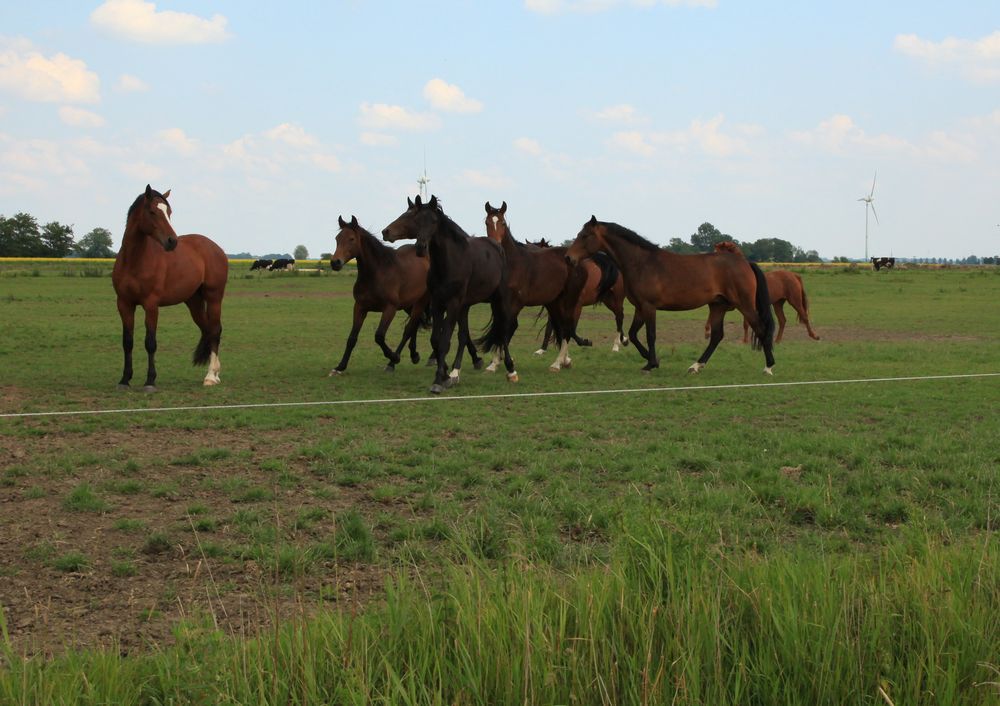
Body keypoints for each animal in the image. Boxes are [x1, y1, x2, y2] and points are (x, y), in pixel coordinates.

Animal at [112, 184, 228, 388]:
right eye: (152, 212)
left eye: (169, 212)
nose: (172, 241)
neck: (134, 261)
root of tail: (216, 248)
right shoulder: (124, 304)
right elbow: (127, 341)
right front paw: (125, 379)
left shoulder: (151, 305)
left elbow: (150, 342)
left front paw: (150, 381)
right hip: (194, 302)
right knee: (207, 329)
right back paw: (216, 373)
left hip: (214, 297)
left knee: (215, 330)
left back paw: (210, 376)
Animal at [328, 216, 430, 374]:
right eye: (337, 238)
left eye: (351, 239)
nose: (335, 263)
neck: (378, 272)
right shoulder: (360, 307)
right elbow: (352, 338)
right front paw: (340, 366)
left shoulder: (389, 309)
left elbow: (379, 336)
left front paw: (394, 357)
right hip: (409, 305)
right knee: (415, 325)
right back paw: (414, 355)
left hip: (421, 302)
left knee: (409, 329)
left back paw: (393, 362)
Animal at [382, 194, 520, 390]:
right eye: (416, 220)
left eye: (433, 221)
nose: (420, 247)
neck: (449, 262)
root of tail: (497, 246)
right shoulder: (438, 303)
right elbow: (436, 340)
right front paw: (446, 373)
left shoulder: (453, 303)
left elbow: (445, 341)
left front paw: (439, 380)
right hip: (466, 305)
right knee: (463, 335)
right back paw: (456, 372)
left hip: (498, 298)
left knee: (502, 327)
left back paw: (510, 370)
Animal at [568, 217, 776, 374]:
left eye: (584, 235)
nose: (569, 257)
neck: (642, 263)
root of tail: (745, 262)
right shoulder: (639, 307)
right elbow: (633, 334)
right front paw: (651, 359)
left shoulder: (649, 307)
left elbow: (650, 334)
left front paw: (651, 364)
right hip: (718, 306)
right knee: (717, 336)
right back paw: (696, 366)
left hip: (744, 305)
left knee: (761, 328)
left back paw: (768, 366)